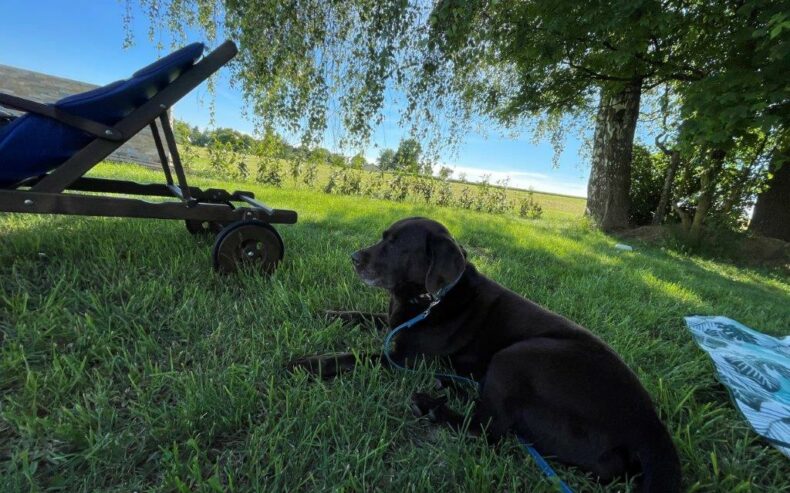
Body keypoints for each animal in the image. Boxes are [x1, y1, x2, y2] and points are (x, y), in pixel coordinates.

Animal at [290, 217, 680, 490]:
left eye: (397, 245)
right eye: (383, 237)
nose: (354, 258)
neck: (433, 299)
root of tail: (650, 425)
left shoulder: (401, 358)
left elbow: (355, 356)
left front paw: (309, 363)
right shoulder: (392, 325)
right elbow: (359, 315)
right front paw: (329, 313)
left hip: (516, 356)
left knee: (491, 431)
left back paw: (430, 406)